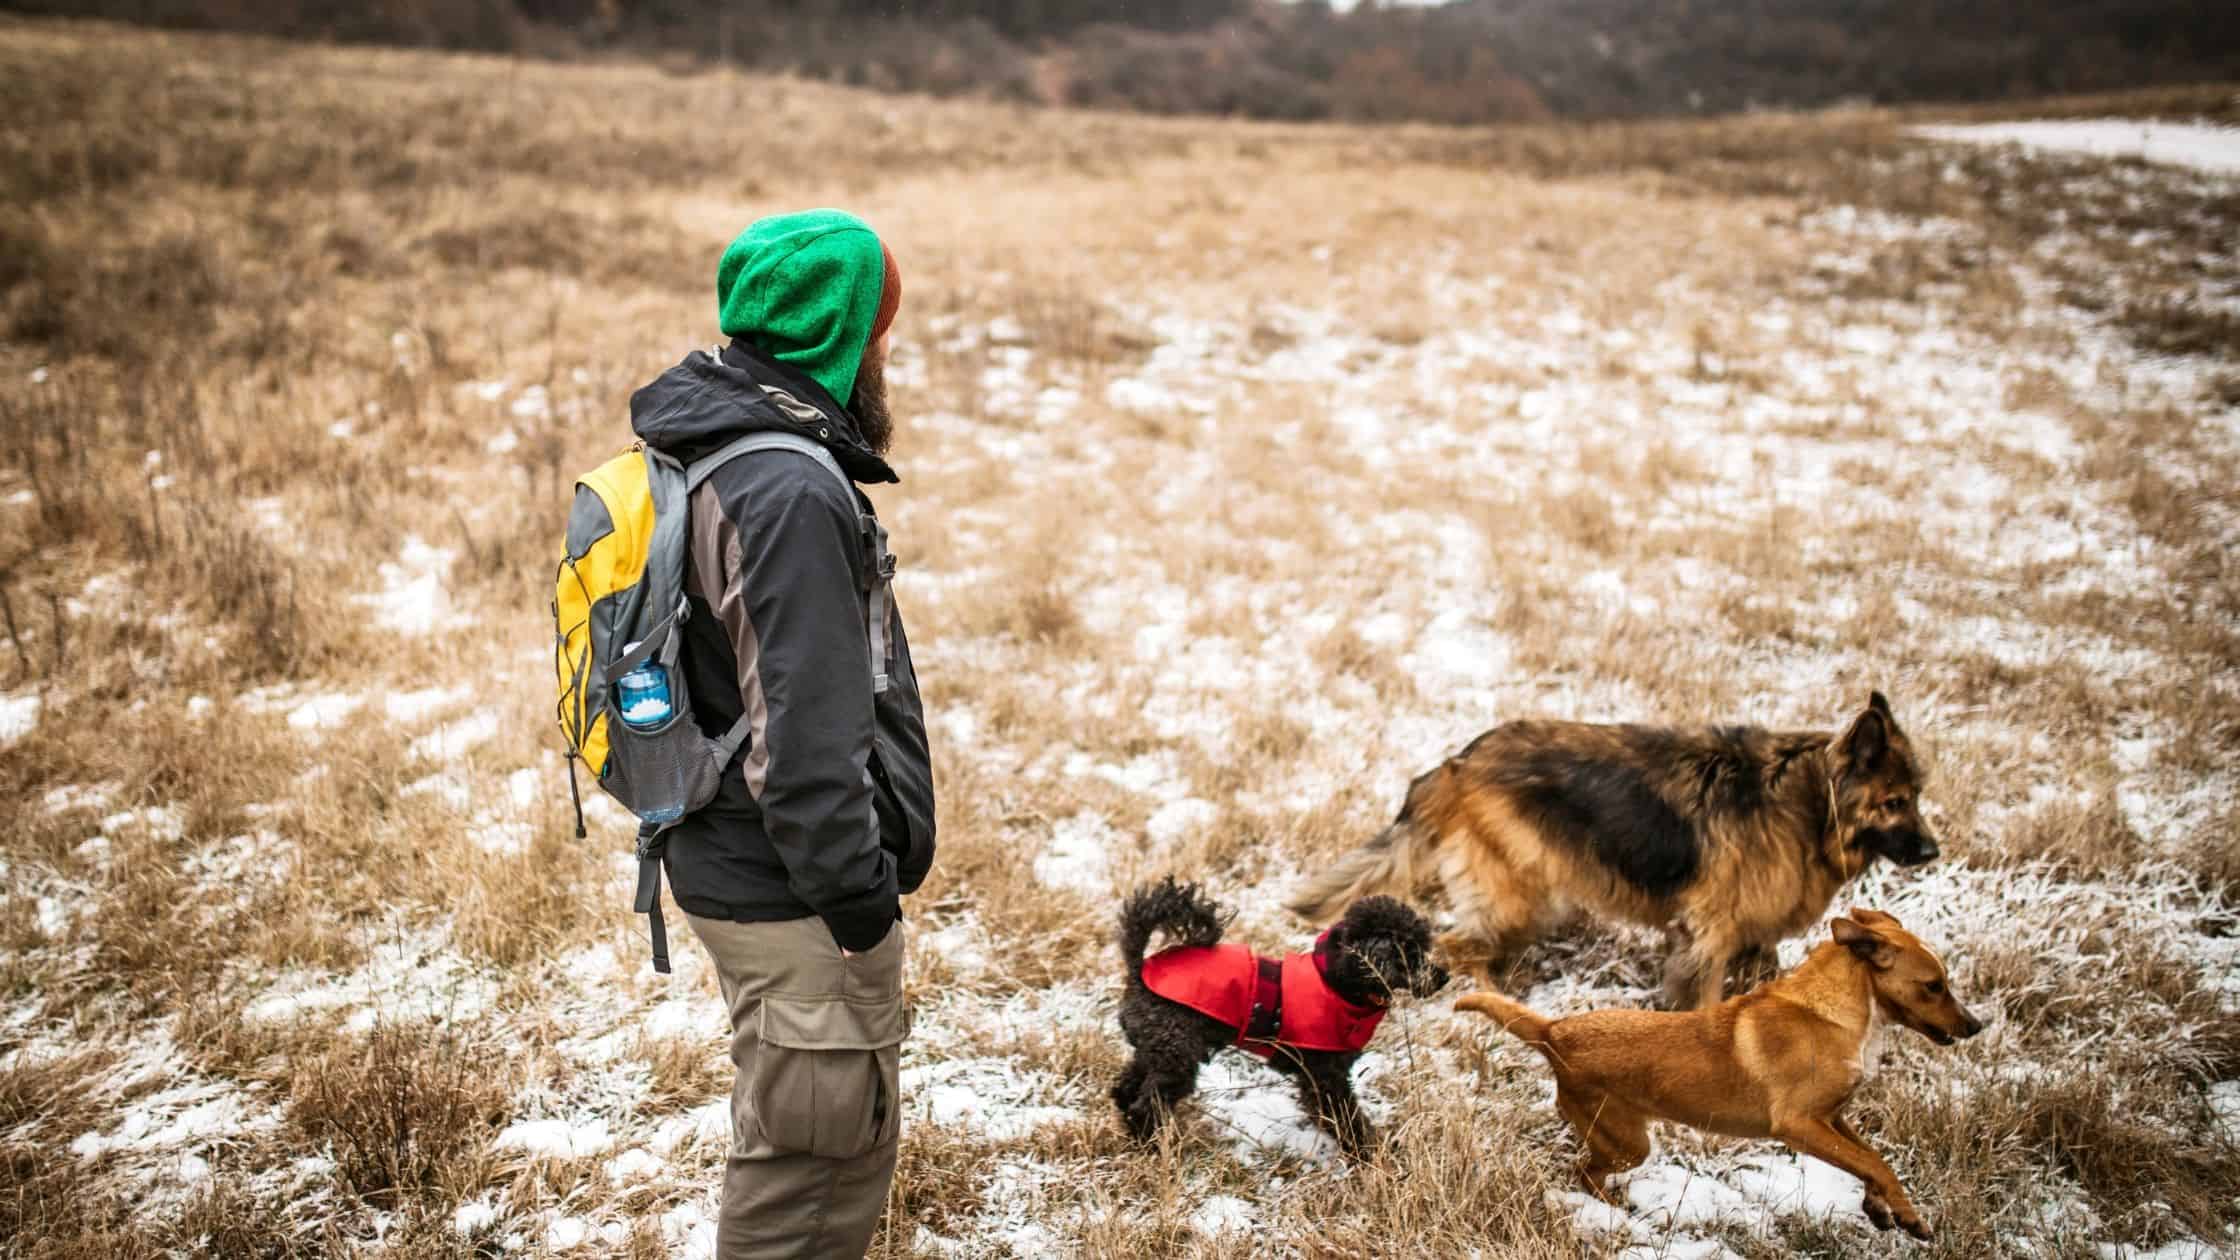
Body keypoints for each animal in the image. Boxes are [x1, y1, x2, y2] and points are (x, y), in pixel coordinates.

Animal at [1460, 901, 1989, 1237]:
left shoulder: (1833, 1117)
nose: (1976, 1026)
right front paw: (1908, 1218)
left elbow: (1870, 1160)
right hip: (1626, 1142)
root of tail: (1554, 1030)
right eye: (1934, 985)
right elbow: (1876, 1163)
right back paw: (1616, 1216)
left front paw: (1882, 1210)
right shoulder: (1799, 1125)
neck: (1834, 1011)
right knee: (1584, 1174)